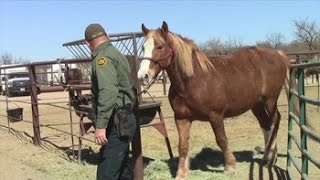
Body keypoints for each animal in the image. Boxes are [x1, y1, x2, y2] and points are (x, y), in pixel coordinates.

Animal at [138, 21, 290, 179]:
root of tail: (278, 54)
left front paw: (230, 166)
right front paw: (181, 173)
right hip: (257, 105)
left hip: (270, 101)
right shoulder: (181, 118)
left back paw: (271, 158)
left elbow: (221, 139)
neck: (194, 80)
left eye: (159, 46)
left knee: (274, 122)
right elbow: (183, 145)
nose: (143, 75)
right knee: (265, 124)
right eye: (143, 47)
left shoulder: (215, 115)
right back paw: (266, 158)